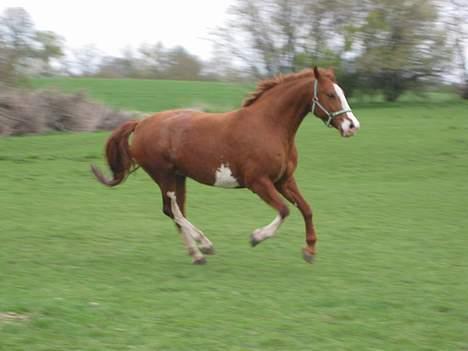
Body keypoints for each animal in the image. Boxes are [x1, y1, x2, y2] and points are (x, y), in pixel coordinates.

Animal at [92, 66, 362, 264]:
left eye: (341, 93)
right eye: (330, 95)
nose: (352, 126)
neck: (269, 126)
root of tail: (142, 123)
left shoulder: (284, 180)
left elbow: (306, 209)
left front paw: (309, 251)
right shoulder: (258, 182)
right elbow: (284, 210)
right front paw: (256, 237)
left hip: (179, 177)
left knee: (176, 212)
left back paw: (197, 254)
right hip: (164, 176)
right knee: (173, 210)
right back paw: (205, 245)